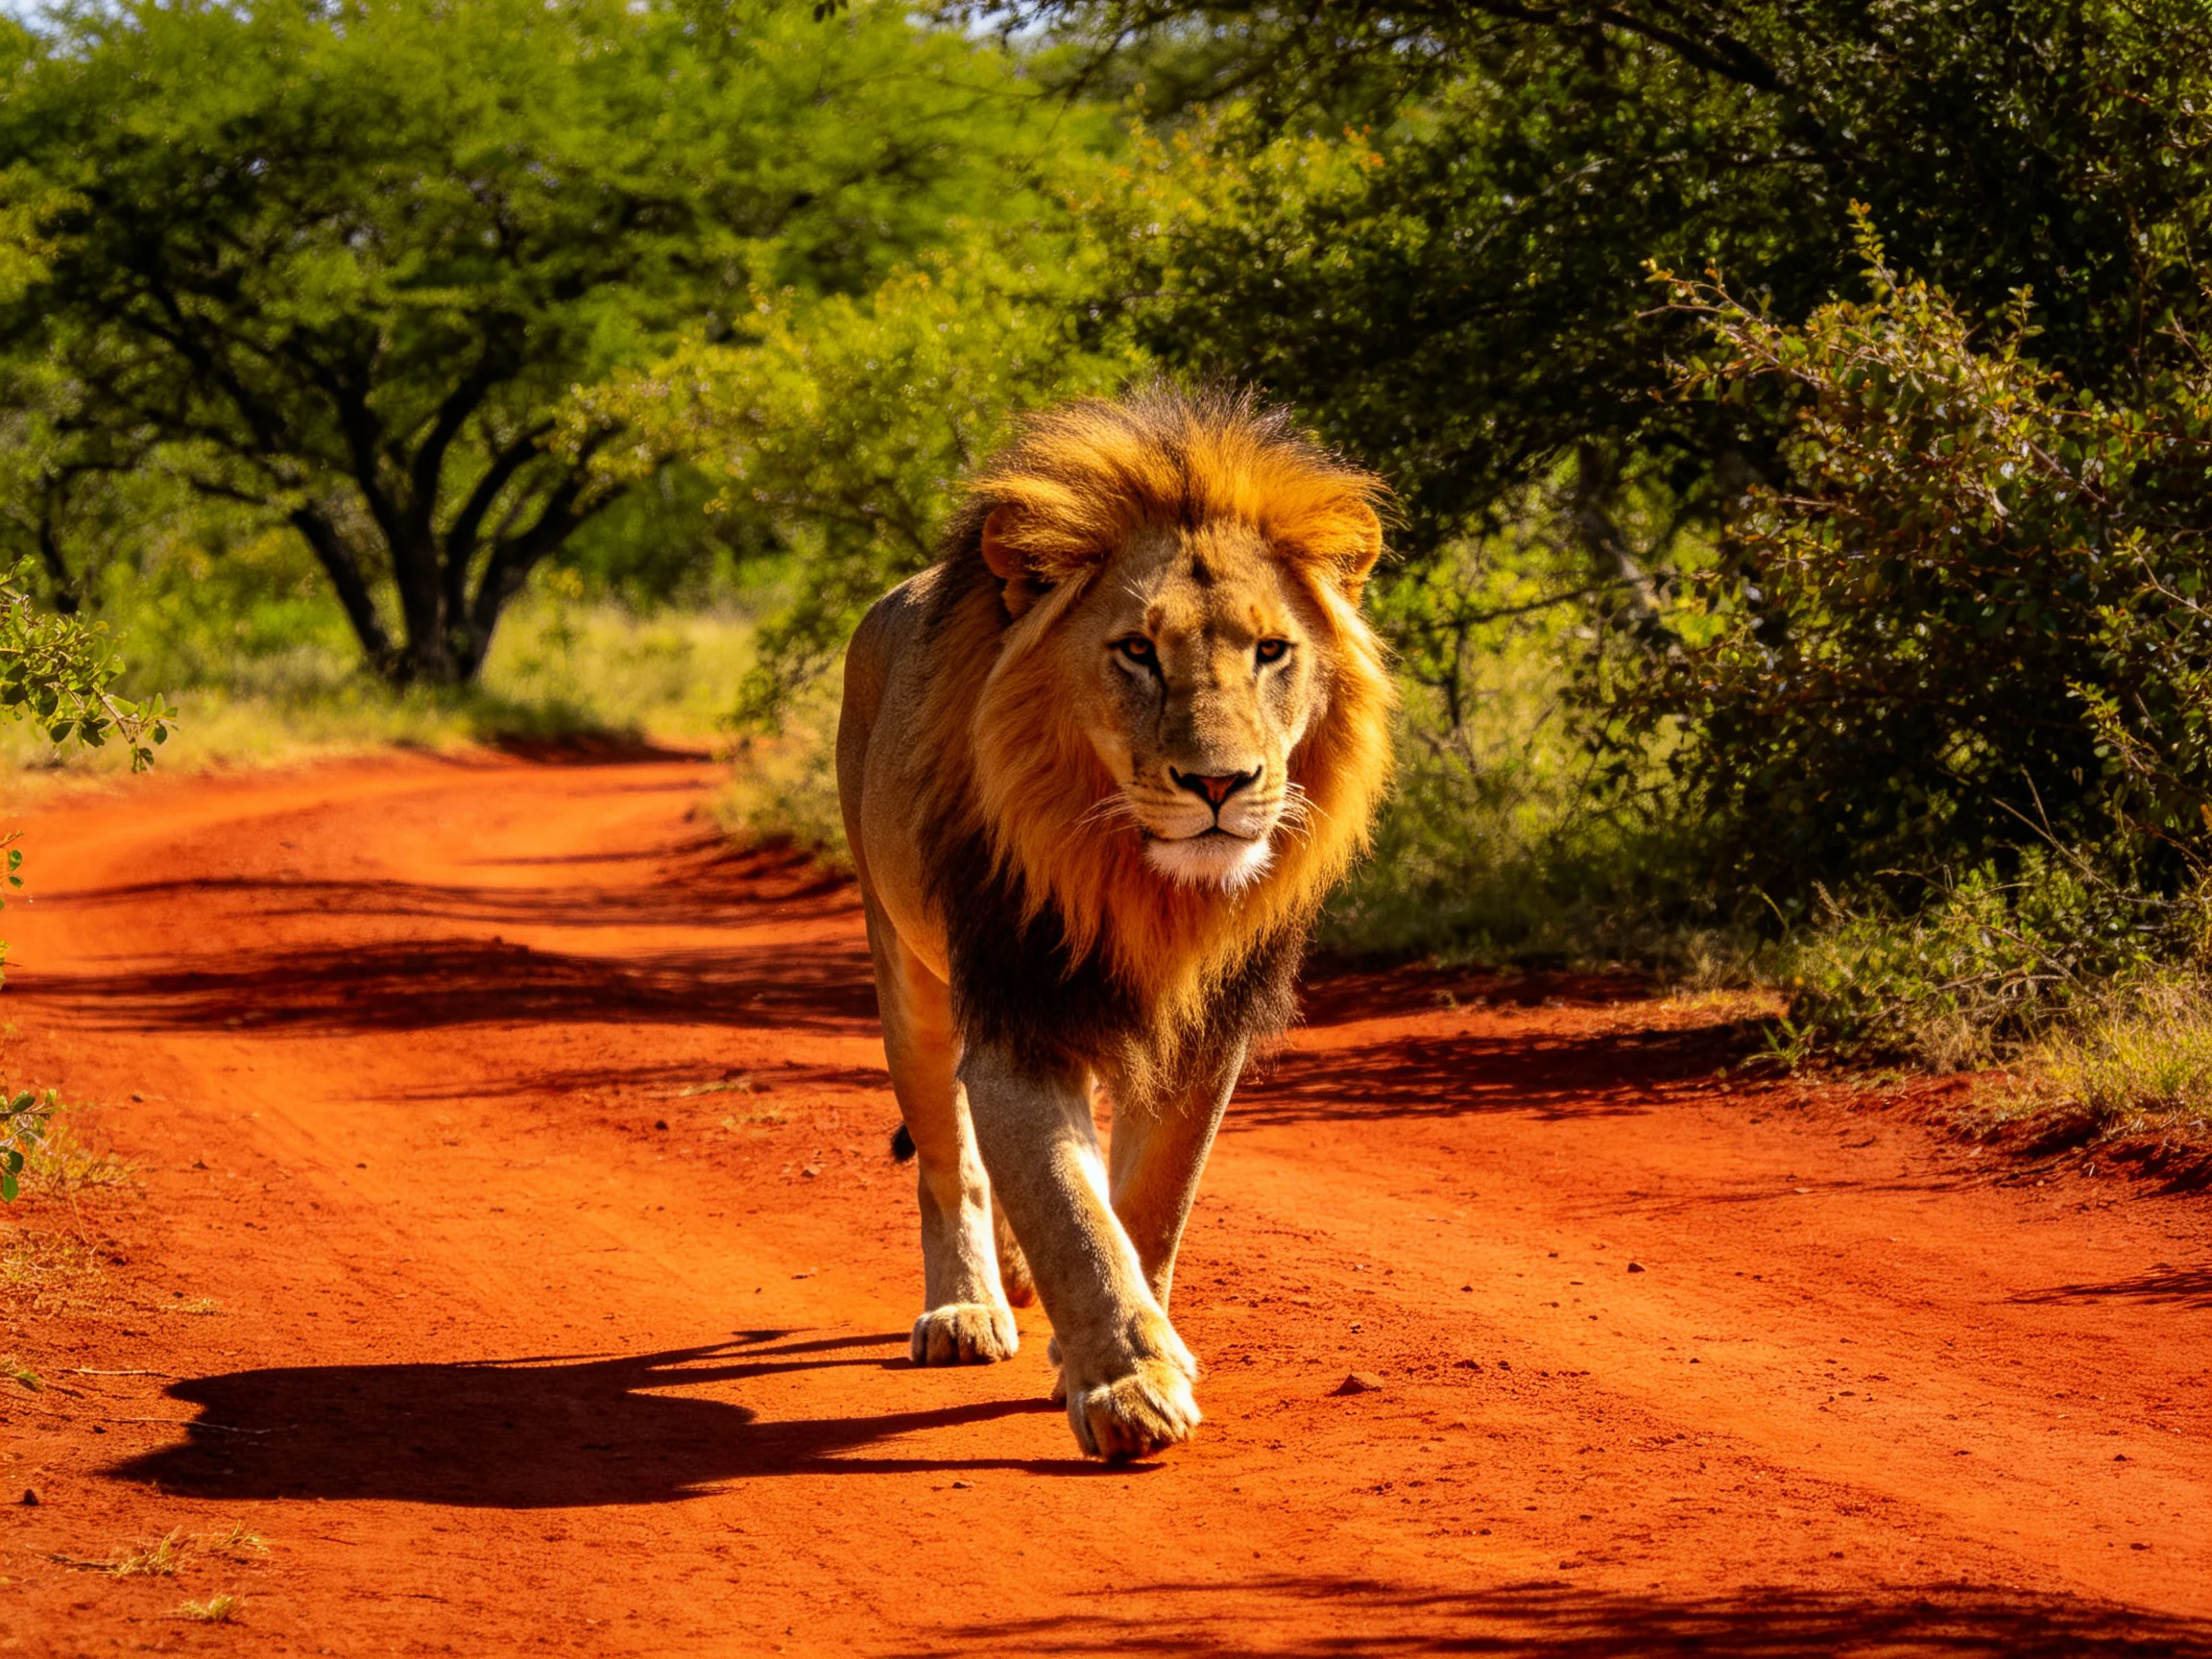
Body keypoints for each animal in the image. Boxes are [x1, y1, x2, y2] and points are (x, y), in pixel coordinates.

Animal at [835, 383, 1395, 1460]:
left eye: (1272, 652)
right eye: (1137, 651)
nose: (1222, 783)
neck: (1145, 885)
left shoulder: (1209, 1026)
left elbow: (1147, 1207)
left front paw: (1128, 1346)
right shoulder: (1018, 1012)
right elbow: (1071, 1214)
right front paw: (1128, 1386)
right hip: (905, 973)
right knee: (947, 1162)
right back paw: (967, 1308)